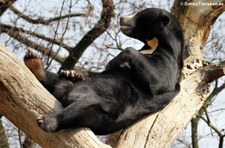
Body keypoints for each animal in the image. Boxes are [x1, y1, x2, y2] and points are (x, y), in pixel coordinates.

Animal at [23, 8, 184, 135]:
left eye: (139, 13)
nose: (121, 18)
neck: (153, 43)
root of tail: (64, 95)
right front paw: (73, 73)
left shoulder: (169, 62)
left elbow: (159, 79)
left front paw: (110, 62)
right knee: (55, 79)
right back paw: (34, 63)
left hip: (102, 110)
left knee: (82, 108)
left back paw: (47, 121)